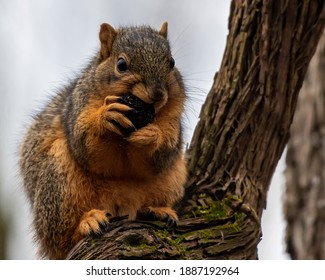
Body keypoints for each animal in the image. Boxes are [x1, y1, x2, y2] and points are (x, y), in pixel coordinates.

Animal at [20, 22, 186, 260]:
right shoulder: (80, 104)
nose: (157, 95)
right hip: (58, 183)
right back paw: (86, 223)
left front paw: (151, 134)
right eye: (121, 65)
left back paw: (157, 210)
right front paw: (105, 117)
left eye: (171, 62)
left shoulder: (173, 123)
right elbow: (87, 148)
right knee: (63, 241)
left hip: (172, 180)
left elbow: (160, 159)